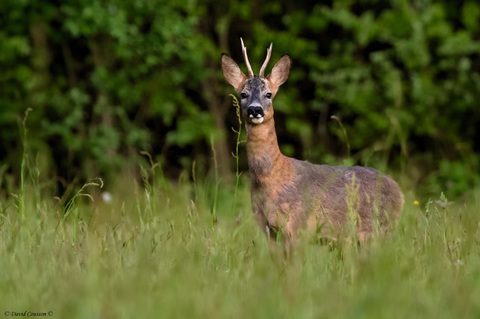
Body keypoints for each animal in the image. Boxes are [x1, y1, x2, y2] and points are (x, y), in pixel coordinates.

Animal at [223, 39, 404, 250]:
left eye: (268, 94)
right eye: (243, 94)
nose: (255, 109)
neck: (273, 177)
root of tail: (400, 193)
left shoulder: (298, 225)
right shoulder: (268, 230)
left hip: (378, 230)